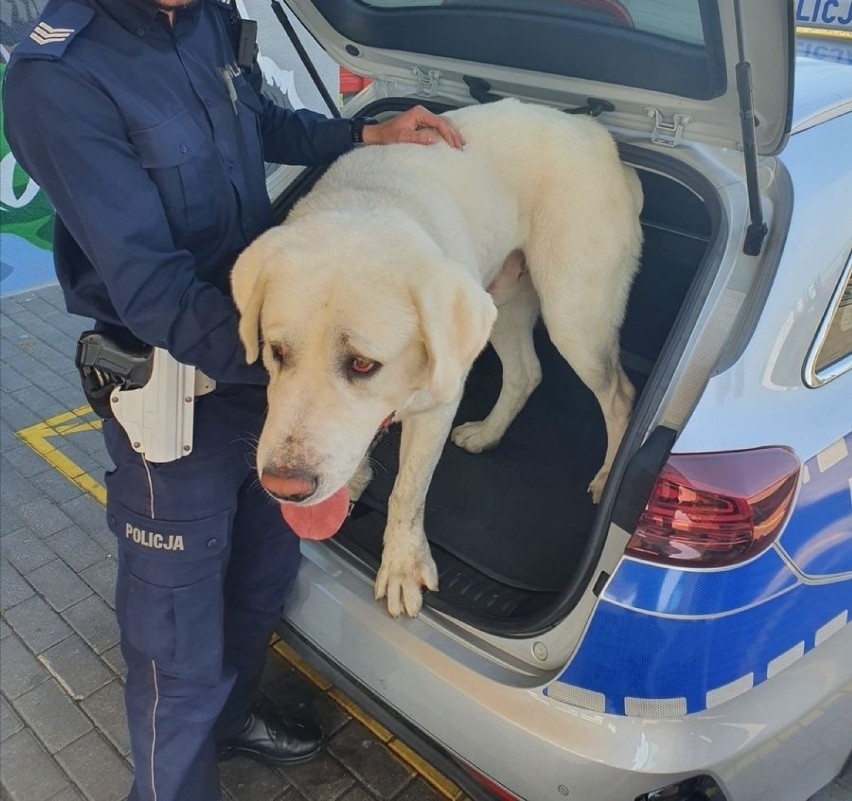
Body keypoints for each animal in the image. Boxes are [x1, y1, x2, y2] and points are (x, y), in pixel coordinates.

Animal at [230, 97, 644, 616]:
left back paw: (607, 473)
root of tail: (594, 133)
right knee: (526, 373)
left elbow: (408, 491)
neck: (370, 204)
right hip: (500, 301)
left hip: (573, 315)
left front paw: (402, 567)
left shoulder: (436, 404)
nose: (283, 488)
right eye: (276, 352)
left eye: (363, 365)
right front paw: (355, 485)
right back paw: (487, 434)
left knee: (619, 394)